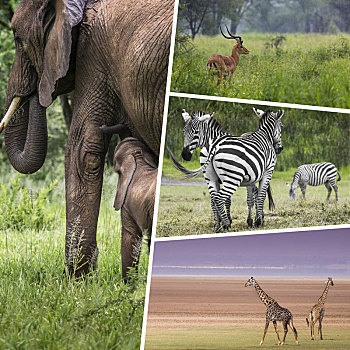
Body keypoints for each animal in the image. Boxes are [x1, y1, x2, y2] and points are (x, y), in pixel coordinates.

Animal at [100, 124, 157, 284]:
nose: (102, 126)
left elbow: (130, 238)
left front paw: (128, 287)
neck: (137, 157)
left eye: (117, 172)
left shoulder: (127, 204)